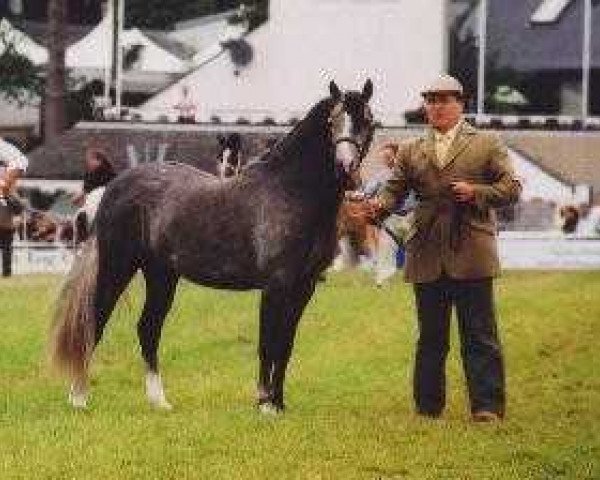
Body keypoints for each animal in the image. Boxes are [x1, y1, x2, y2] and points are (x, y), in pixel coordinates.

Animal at [51, 79, 372, 412]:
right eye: (332, 121)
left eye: (367, 120)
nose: (347, 167)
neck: (291, 192)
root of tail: (113, 186)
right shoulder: (276, 285)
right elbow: (268, 343)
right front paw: (264, 403)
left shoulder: (304, 287)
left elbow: (286, 345)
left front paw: (278, 403)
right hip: (117, 266)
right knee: (95, 322)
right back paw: (79, 398)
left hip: (162, 275)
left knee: (148, 328)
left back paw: (159, 402)